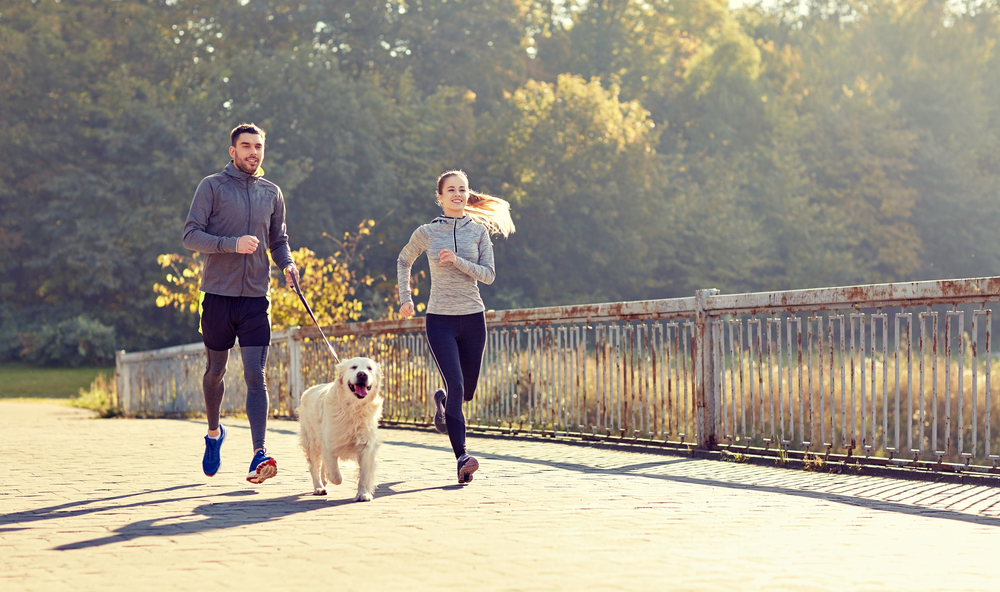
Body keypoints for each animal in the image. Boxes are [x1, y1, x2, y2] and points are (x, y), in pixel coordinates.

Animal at [296, 358, 382, 502]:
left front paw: (363, 494)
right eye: (353, 367)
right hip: (312, 442)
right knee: (314, 467)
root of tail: (310, 389)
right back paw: (319, 487)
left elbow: (365, 474)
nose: (362, 374)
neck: (354, 409)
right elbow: (336, 475)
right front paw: (333, 478)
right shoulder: (329, 443)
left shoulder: (367, 445)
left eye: (369, 368)